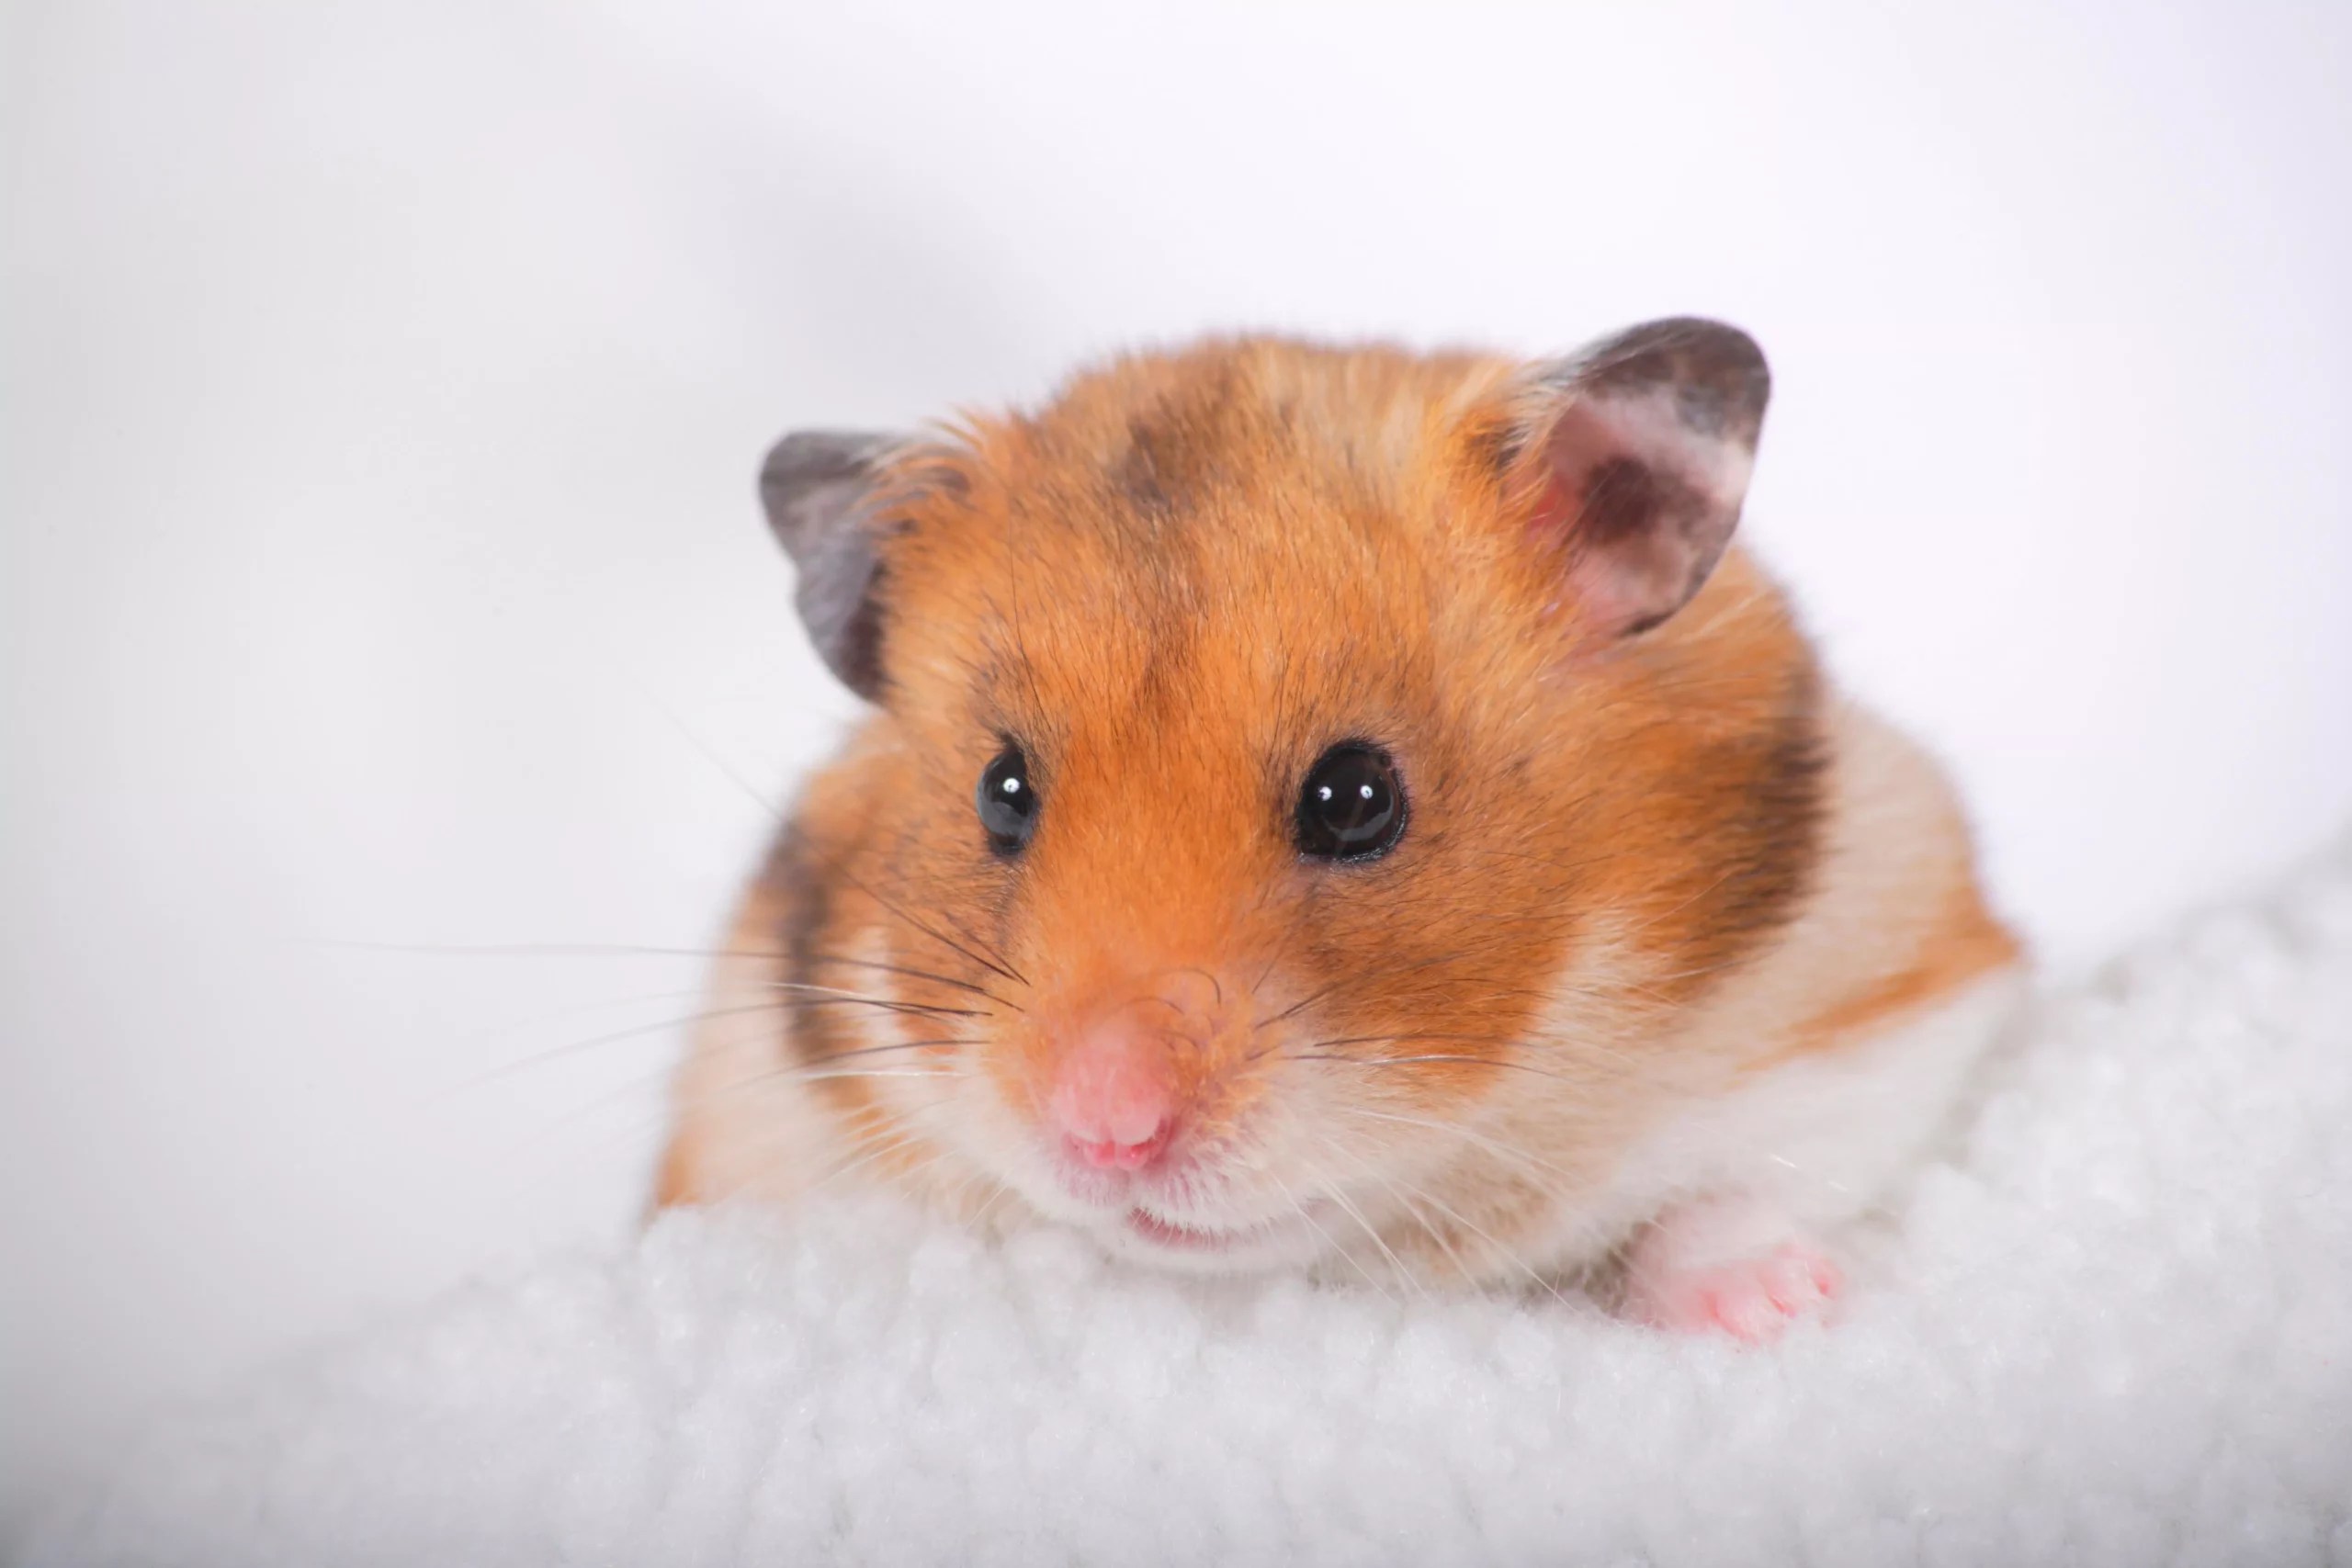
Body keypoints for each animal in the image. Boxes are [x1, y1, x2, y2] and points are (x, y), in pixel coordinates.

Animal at [656, 319, 2024, 1342]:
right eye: (1002, 792)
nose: (1104, 1131)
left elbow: (1742, 1181)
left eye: (1358, 798)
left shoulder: (1886, 982)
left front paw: (1776, 1309)